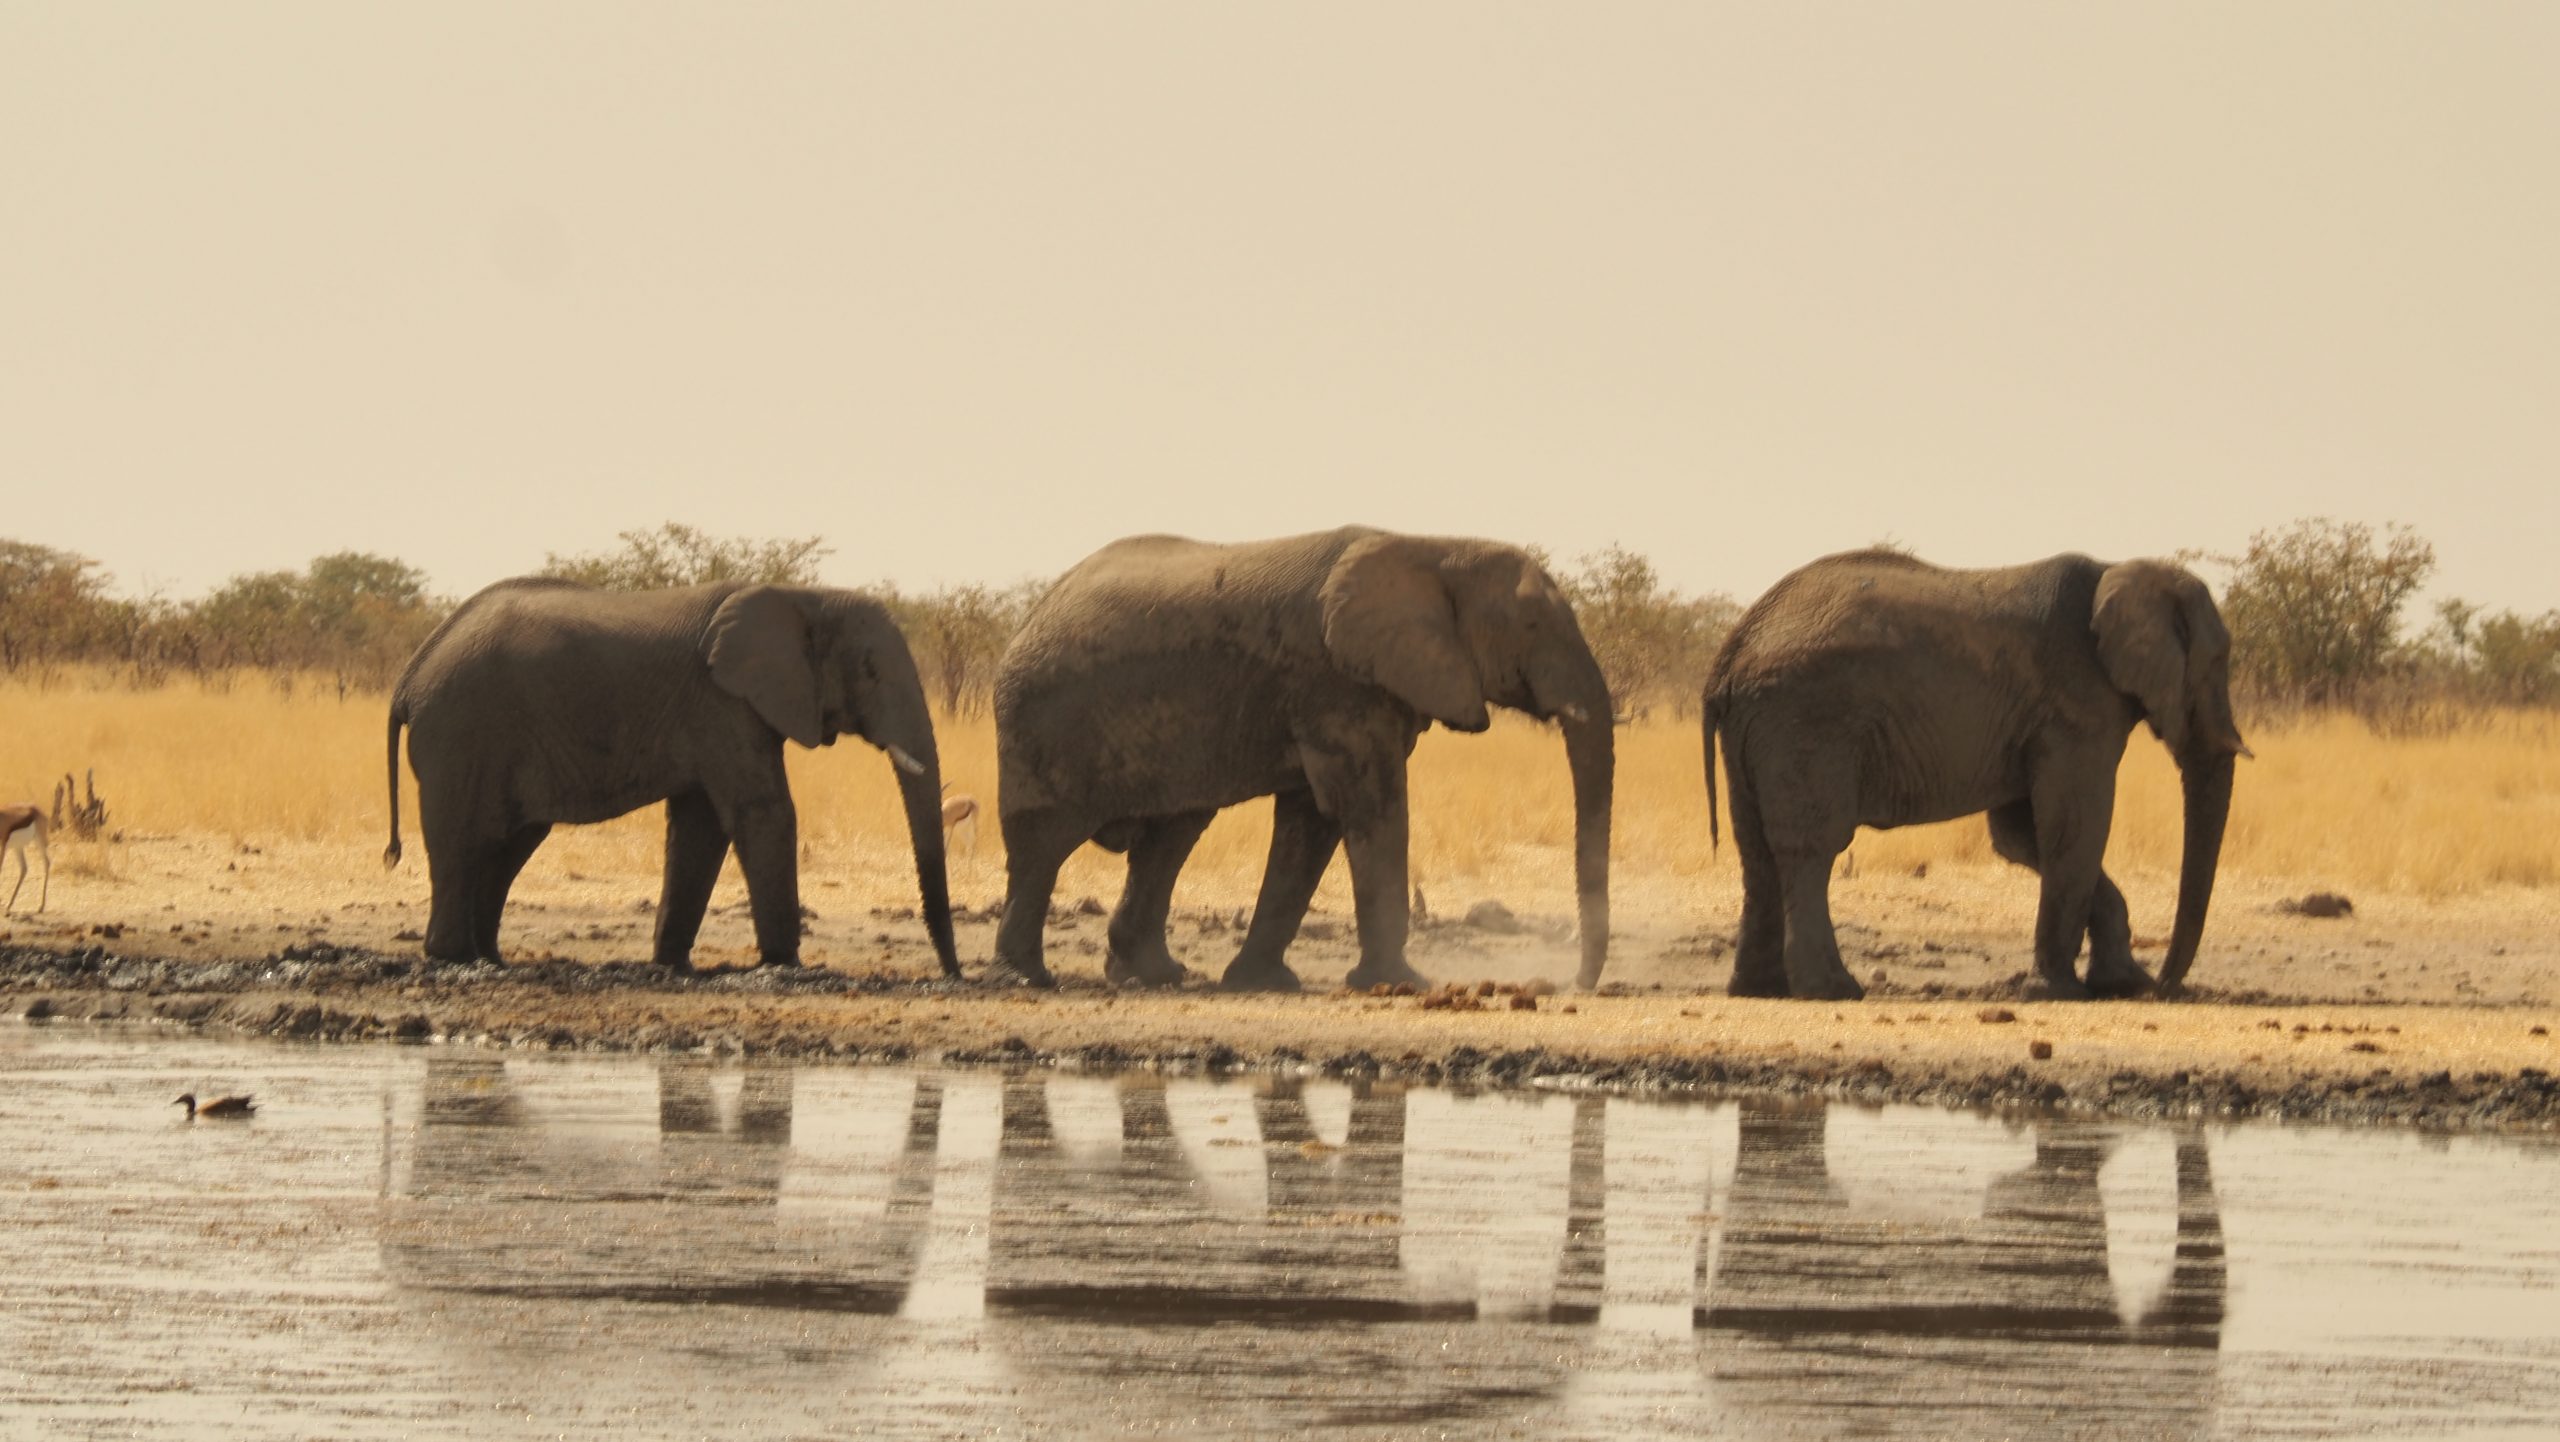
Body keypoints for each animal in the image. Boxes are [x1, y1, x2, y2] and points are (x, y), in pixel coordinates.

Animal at [383, 577, 958, 975]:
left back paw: (491, 958)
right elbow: (762, 811)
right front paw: (786, 966)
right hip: (461, 733)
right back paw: (453, 958)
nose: (953, 975)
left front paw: (672, 966)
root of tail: (409, 677)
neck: (804, 595)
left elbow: (700, 827)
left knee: (507, 844)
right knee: (463, 843)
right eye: (871, 672)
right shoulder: (722, 703)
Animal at [990, 526, 1615, 993]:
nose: (1574, 984)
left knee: (1169, 837)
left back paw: (1154, 976)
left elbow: (1310, 822)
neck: (1435, 547)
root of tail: (1031, 616)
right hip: (1039, 724)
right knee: (1043, 847)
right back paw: (1029, 980)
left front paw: (1262, 983)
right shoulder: (1332, 681)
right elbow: (1371, 806)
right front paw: (1403, 984)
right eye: (1529, 625)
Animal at [1702, 550, 2248, 1001]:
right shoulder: (2076, 707)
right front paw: (2059, 992)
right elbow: (2074, 828)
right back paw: (1835, 991)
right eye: (2216, 662)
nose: (2165, 987)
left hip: (1760, 726)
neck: (2115, 569)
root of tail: (1731, 651)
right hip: (1807, 723)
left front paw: (2120, 984)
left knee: (1756, 851)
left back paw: (1759, 990)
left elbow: (2023, 836)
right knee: (1812, 848)